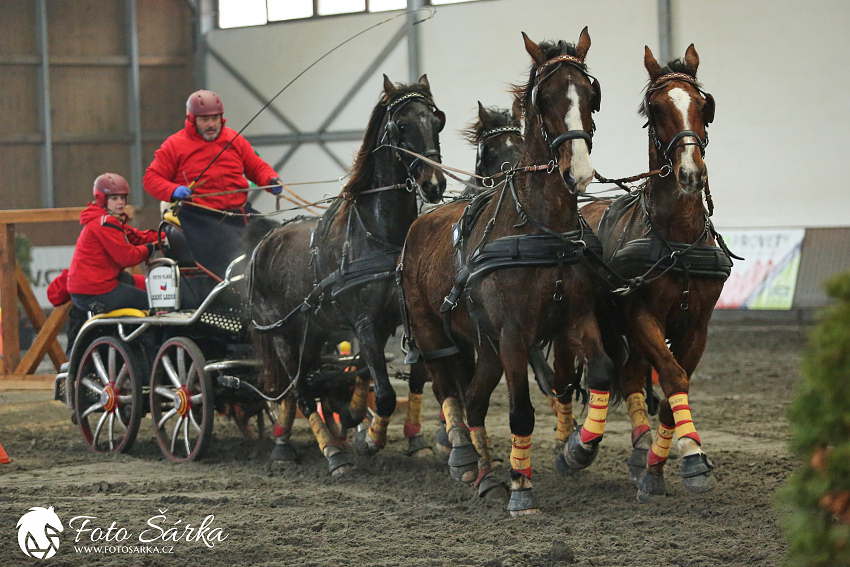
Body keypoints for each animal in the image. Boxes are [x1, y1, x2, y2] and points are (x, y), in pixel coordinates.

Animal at [248, 75, 448, 474]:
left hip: (312, 333)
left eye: (436, 121)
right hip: (281, 334)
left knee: (308, 383)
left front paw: (369, 422)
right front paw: (367, 440)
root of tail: (264, 242)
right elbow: (384, 393)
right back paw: (331, 452)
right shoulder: (365, 323)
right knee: (300, 390)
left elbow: (396, 377)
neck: (378, 233)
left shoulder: (399, 319)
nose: (434, 184)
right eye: (401, 126)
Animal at [400, 30, 612, 520]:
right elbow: (520, 413)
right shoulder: (515, 334)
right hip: (432, 331)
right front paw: (523, 490)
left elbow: (600, 373)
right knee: (447, 389)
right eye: (545, 97)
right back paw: (464, 458)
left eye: (590, 93)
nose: (578, 172)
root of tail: (421, 220)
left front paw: (577, 449)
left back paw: (487, 475)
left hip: (487, 346)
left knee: (476, 404)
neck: (541, 228)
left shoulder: (576, 318)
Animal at [580, 44, 732, 502]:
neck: (678, 240)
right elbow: (671, 375)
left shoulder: (696, 326)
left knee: (630, 374)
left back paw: (640, 451)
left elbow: (673, 387)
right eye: (656, 107)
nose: (691, 173)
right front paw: (690, 458)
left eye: (703, 104)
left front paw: (663, 464)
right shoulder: (641, 316)